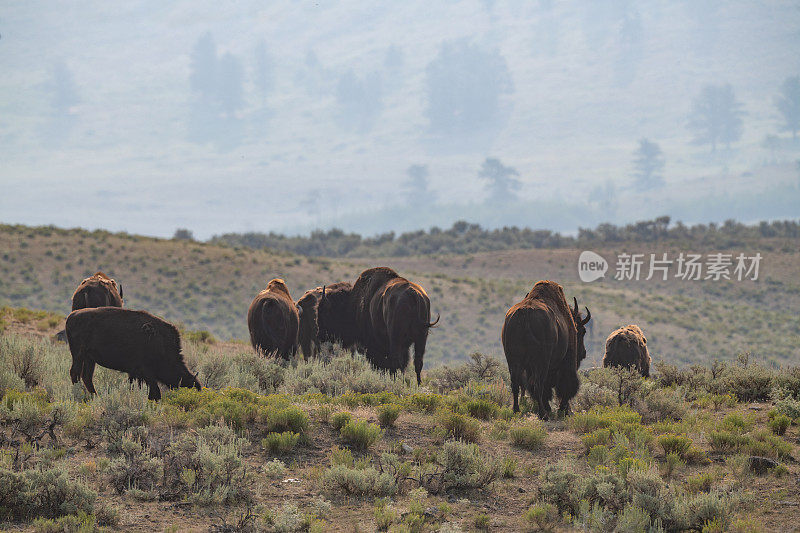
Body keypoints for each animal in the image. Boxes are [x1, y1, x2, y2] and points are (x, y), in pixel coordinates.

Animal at [67, 308, 202, 400]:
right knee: (75, 373)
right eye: (189, 387)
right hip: (78, 354)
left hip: (89, 359)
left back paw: (95, 396)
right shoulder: (146, 372)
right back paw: (79, 395)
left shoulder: (135, 373)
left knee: (86, 376)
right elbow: (155, 391)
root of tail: (72, 316)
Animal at [504, 280, 592, 418]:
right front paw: (563, 409)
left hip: (513, 361)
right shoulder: (566, 361)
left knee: (516, 384)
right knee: (538, 384)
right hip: (541, 362)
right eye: (582, 331)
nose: (583, 352)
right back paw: (543, 414)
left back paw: (516, 410)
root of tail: (525, 312)